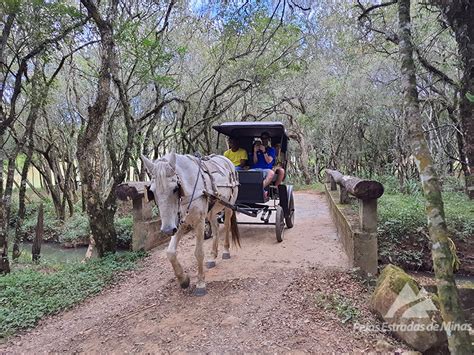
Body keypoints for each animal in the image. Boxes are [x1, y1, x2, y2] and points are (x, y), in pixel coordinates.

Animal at [140, 154, 237, 298]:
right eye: (152, 191)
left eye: (175, 188)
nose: (167, 230)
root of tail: (225, 159)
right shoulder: (180, 223)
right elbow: (170, 253)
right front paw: (183, 280)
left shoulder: (199, 221)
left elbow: (199, 253)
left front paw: (201, 283)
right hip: (211, 210)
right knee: (215, 229)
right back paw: (212, 257)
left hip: (229, 204)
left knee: (227, 225)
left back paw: (225, 251)